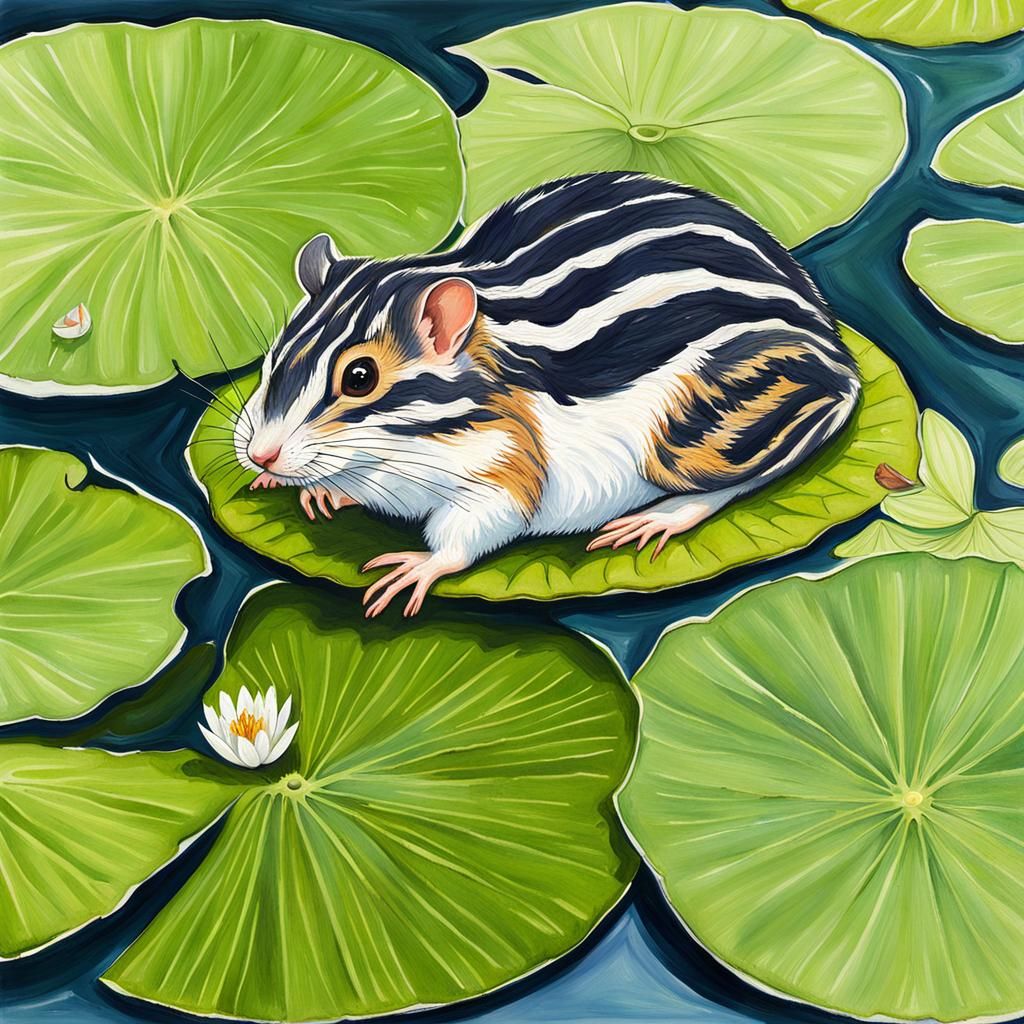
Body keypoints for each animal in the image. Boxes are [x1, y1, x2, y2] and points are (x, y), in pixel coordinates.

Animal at [236, 172, 860, 617]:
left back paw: (659, 518)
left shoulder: (505, 468)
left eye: (360, 378)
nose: (259, 456)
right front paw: (312, 490)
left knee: (745, 474)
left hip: (703, 429)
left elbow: (470, 534)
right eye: (271, 360)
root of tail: (837, 345)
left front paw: (416, 567)